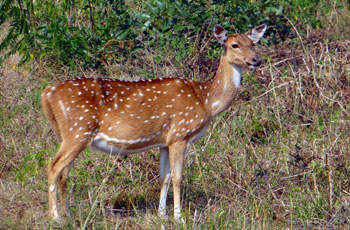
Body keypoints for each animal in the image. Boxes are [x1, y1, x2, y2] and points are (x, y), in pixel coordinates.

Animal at [43, 23, 268, 221]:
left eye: (253, 43)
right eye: (234, 45)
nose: (256, 60)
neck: (205, 101)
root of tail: (46, 94)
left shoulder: (164, 141)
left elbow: (164, 177)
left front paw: (161, 214)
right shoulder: (180, 133)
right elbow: (177, 177)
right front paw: (178, 217)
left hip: (73, 135)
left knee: (64, 173)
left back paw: (69, 215)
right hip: (78, 130)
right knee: (53, 167)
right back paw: (55, 218)